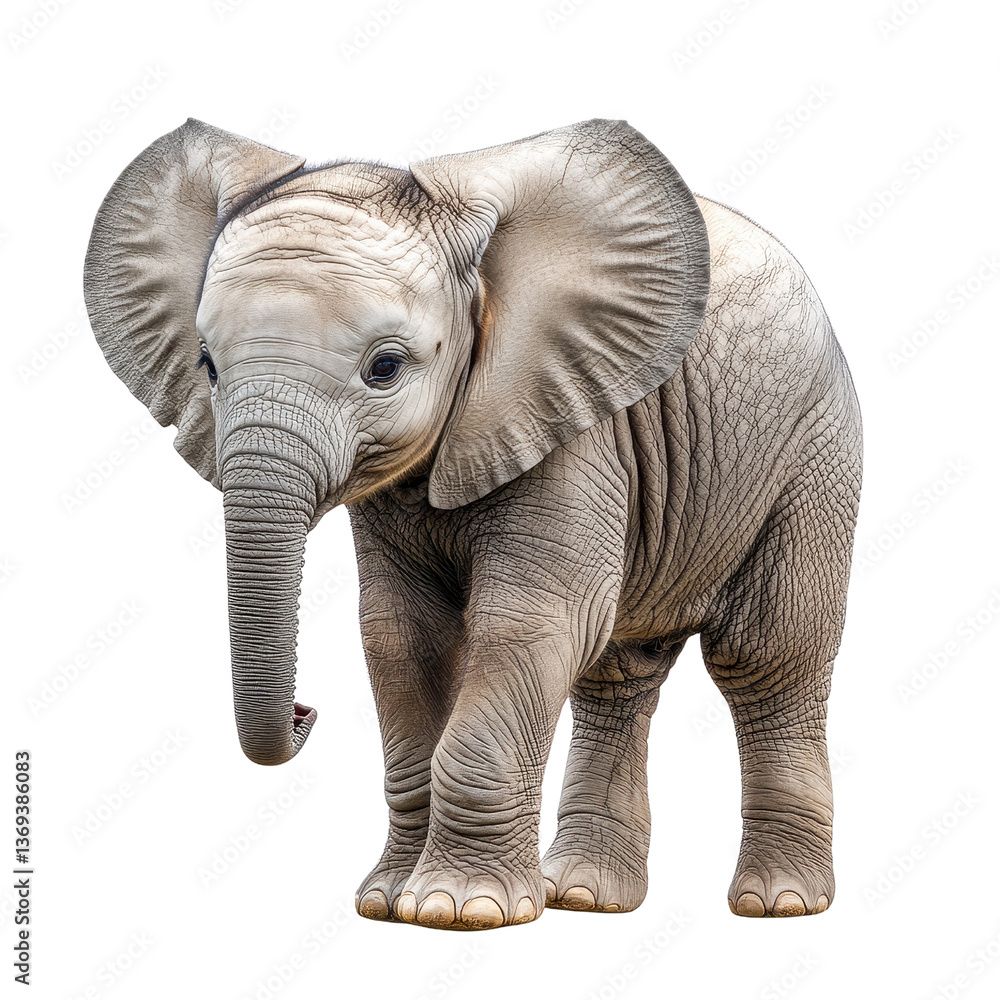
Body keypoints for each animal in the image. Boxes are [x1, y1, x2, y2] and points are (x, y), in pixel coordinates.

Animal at [83, 117, 862, 931]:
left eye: (385, 368)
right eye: (205, 364)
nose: (304, 712)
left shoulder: (569, 419)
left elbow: (527, 621)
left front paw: (460, 911)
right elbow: (399, 635)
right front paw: (387, 903)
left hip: (814, 452)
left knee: (768, 655)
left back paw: (779, 903)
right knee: (620, 672)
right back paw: (585, 897)